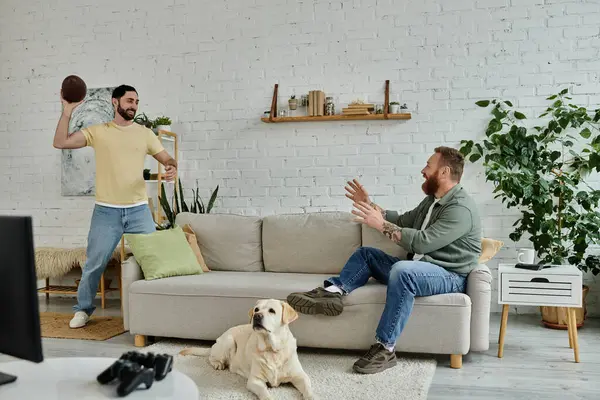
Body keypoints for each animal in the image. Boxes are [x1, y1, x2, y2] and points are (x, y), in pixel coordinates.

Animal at [179, 298, 314, 398]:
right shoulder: (255, 380)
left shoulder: (300, 376)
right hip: (228, 342)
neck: (271, 349)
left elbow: (308, 389)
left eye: (272, 311)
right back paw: (219, 363)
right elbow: (265, 393)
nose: (257, 316)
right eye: (256, 309)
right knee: (212, 357)